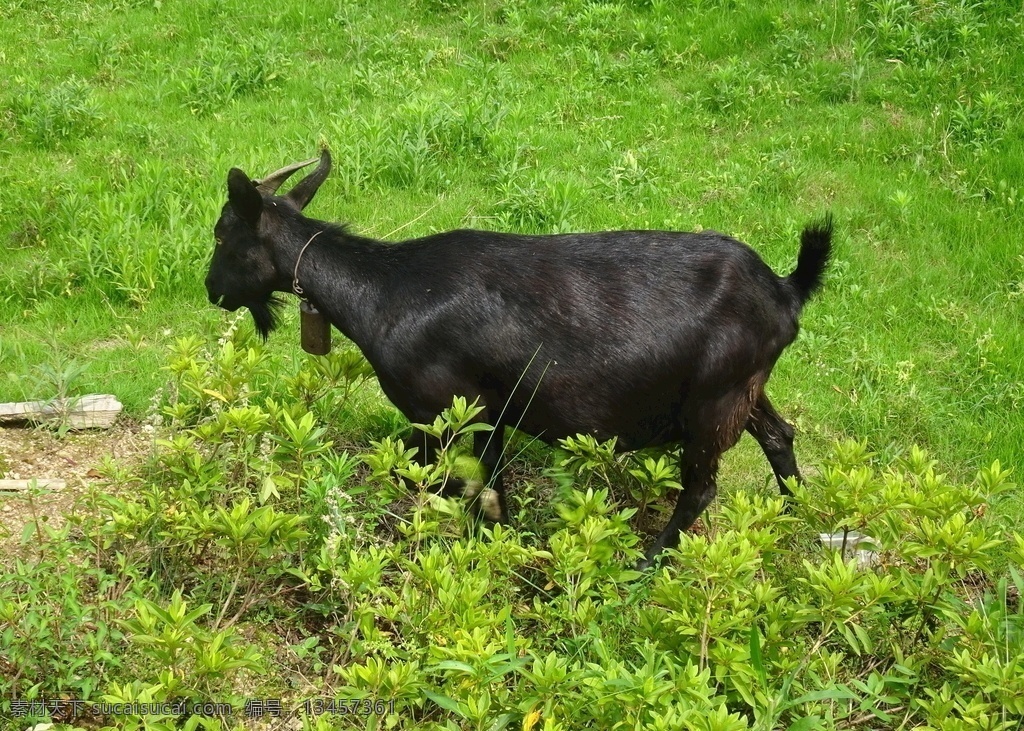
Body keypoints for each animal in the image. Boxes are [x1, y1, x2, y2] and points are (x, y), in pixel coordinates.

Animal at [205, 150, 831, 565]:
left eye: (219, 235)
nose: (212, 290)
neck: (386, 290)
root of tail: (785, 290)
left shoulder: (451, 408)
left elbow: (465, 485)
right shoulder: (484, 415)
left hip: (713, 399)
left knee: (701, 487)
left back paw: (646, 563)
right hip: (745, 389)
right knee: (780, 436)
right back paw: (799, 522)